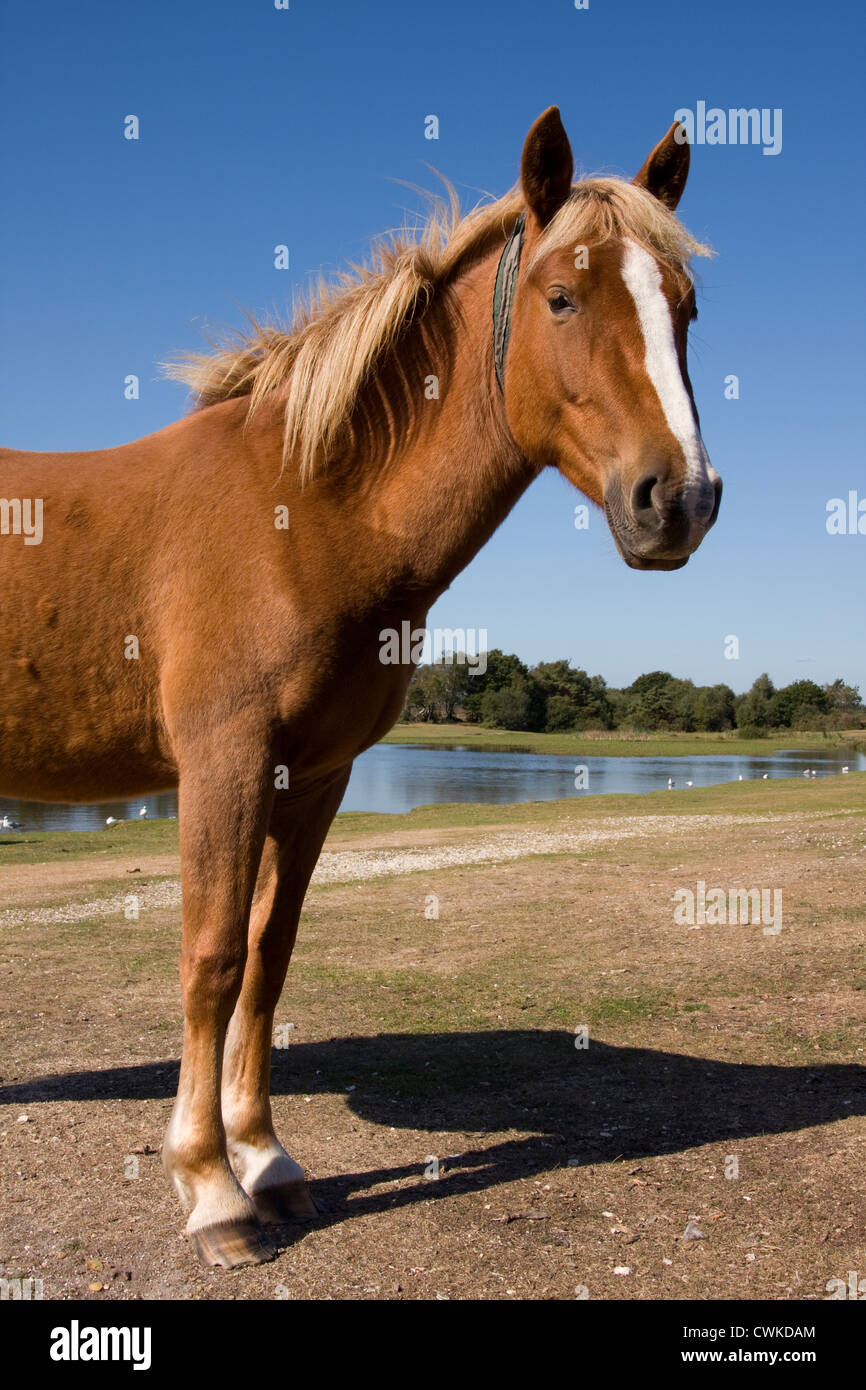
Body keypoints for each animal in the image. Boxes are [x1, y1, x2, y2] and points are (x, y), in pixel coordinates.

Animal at [0, 111, 722, 1273]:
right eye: (563, 297)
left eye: (685, 307)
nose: (680, 500)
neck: (300, 510)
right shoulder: (224, 763)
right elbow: (210, 960)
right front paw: (211, 1190)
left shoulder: (317, 775)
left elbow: (267, 957)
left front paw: (266, 1162)